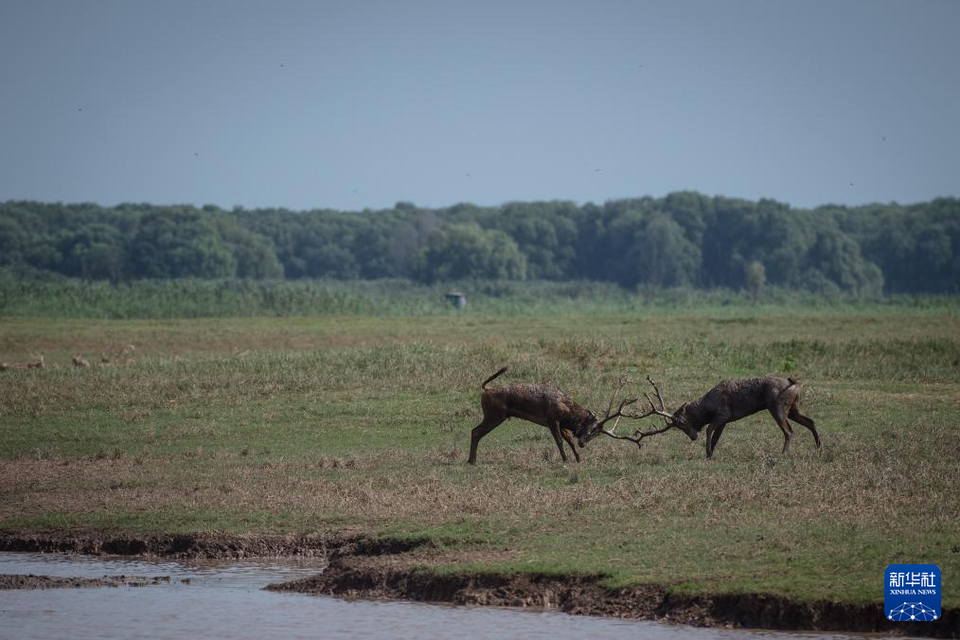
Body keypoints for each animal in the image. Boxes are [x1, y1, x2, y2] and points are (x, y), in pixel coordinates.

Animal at [466, 364, 660, 464]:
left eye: (596, 434)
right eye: (592, 428)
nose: (583, 443)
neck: (567, 412)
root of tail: (485, 390)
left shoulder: (559, 424)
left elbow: (568, 439)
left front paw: (578, 458)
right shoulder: (552, 419)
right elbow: (559, 440)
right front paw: (565, 459)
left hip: (495, 415)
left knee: (475, 431)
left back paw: (471, 460)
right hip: (495, 415)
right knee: (475, 431)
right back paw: (472, 460)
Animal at [580, 376, 820, 460]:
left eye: (680, 422)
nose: (692, 437)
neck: (707, 408)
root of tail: (795, 384)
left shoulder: (723, 415)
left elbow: (709, 431)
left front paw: (707, 453)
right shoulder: (725, 420)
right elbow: (715, 436)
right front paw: (710, 453)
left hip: (777, 407)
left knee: (789, 430)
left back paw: (784, 453)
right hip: (794, 407)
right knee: (811, 421)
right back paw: (819, 446)